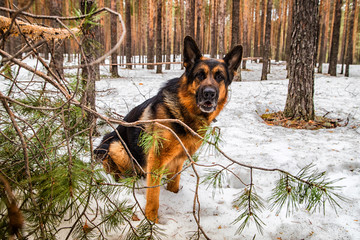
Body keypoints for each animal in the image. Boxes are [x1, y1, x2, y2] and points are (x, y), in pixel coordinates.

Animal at [94, 36, 243, 222]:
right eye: (200, 75)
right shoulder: (156, 159)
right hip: (117, 146)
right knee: (117, 171)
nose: (209, 93)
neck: (185, 113)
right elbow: (153, 196)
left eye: (220, 77)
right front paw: (151, 221)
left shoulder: (178, 160)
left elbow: (174, 185)